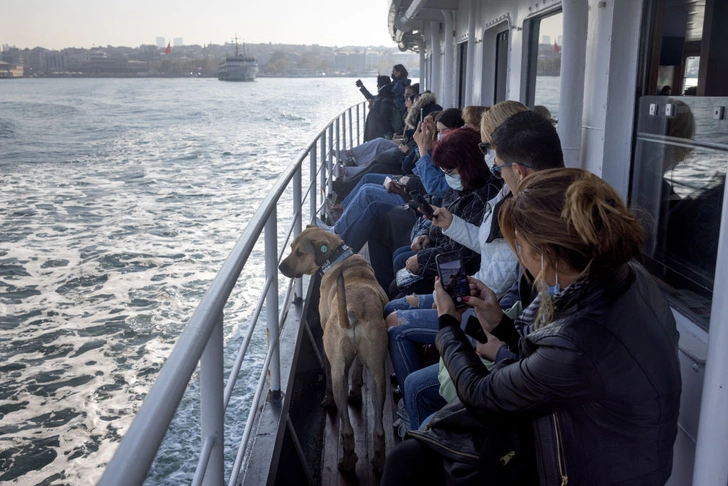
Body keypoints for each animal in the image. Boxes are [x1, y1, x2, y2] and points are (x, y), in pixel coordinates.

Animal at [278, 228, 390, 474]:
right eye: (291, 247)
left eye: (300, 253)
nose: (280, 267)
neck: (339, 259)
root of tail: (353, 310)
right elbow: (357, 371)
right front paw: (356, 393)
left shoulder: (326, 346)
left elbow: (327, 375)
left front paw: (327, 400)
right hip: (378, 369)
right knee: (379, 429)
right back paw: (379, 460)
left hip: (338, 369)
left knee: (347, 427)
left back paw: (347, 461)